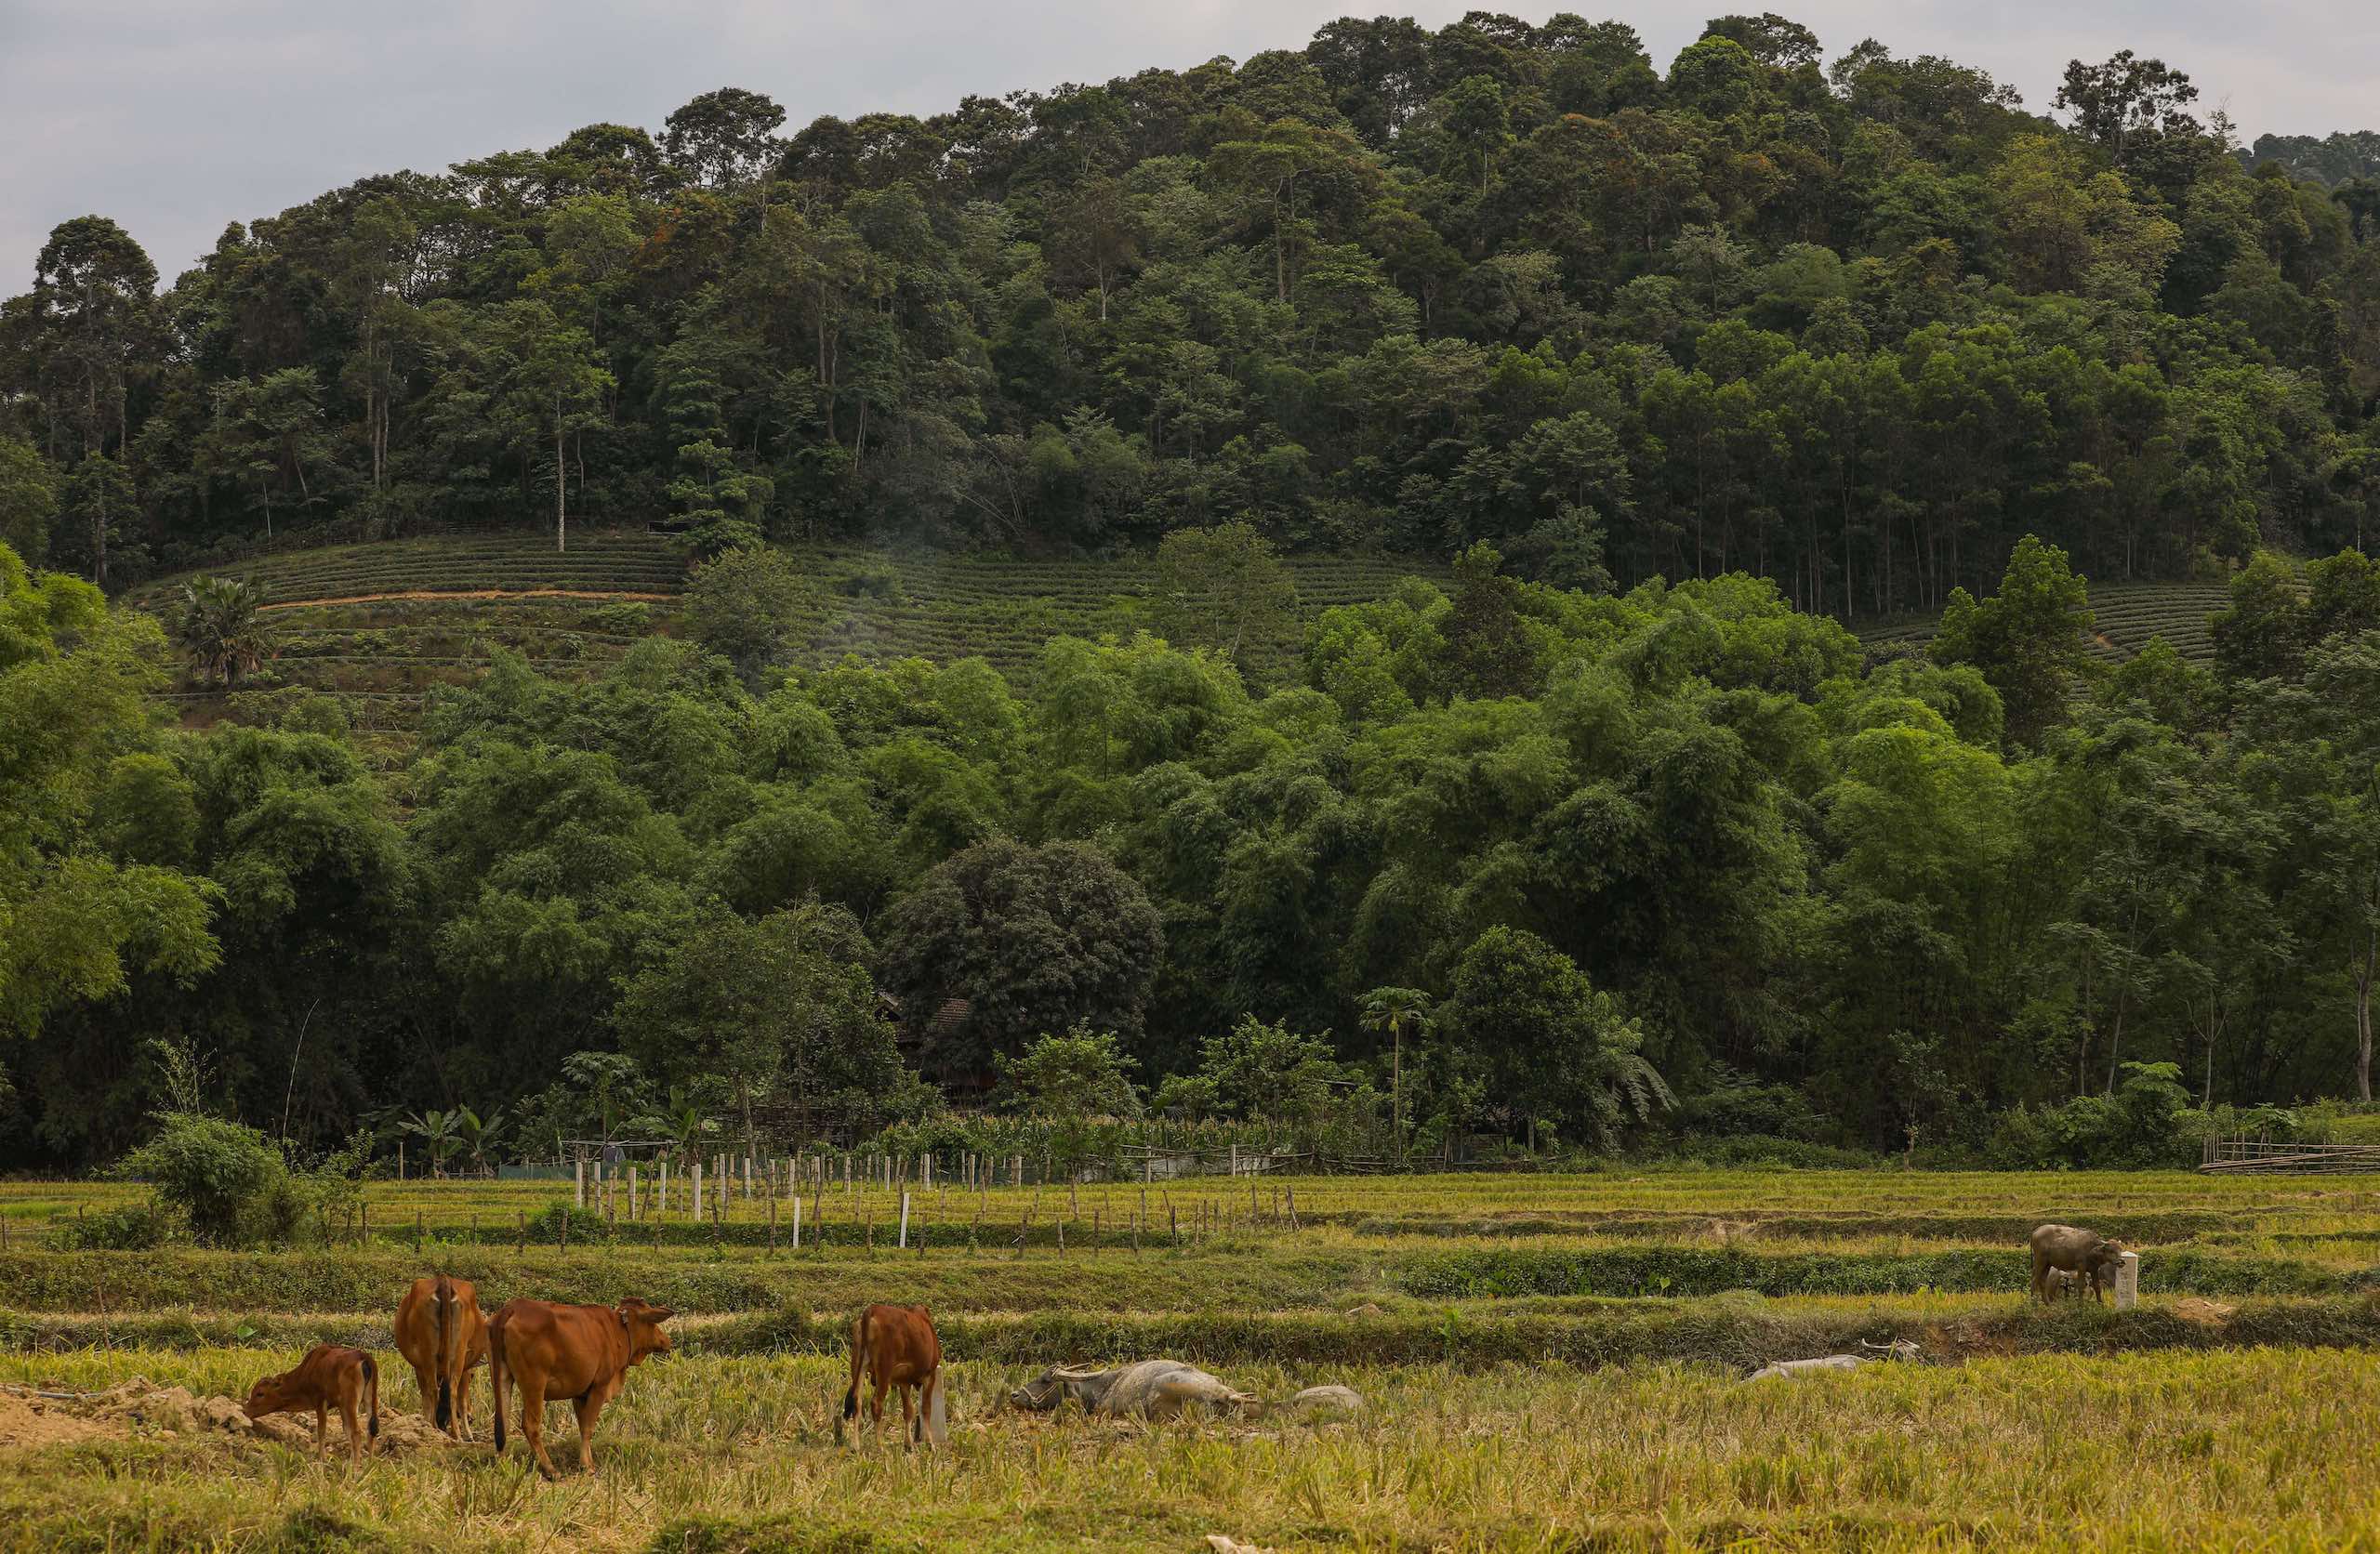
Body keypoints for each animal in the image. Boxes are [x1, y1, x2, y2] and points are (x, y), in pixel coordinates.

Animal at [244, 1342, 378, 1456]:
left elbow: (321, 1432)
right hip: (369, 1399)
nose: (245, 1411)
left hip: (351, 1401)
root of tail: (364, 1356)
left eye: (260, 1393)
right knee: (370, 1432)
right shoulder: (341, 1406)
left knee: (357, 1433)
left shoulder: (320, 1401)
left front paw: (322, 1460)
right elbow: (346, 1430)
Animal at [394, 1266, 487, 1437]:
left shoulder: (419, 1367)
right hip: (456, 1353)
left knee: (434, 1390)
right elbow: (461, 1401)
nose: (472, 1418)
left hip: (430, 1355)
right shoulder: (466, 1369)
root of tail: (443, 1280)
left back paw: (436, 1427)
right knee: (448, 1390)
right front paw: (468, 1433)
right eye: (473, 1376)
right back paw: (453, 1433)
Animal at [483, 1294, 670, 1475]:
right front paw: (587, 1466)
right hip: (534, 1384)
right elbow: (588, 1427)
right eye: (653, 1322)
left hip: (501, 1376)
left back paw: (503, 1466)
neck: (618, 1330)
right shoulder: (599, 1387)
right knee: (530, 1425)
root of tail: (512, 1307)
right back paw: (550, 1469)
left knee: (503, 1422)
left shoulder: (580, 1394)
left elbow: (582, 1426)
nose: (666, 1340)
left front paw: (587, 1460)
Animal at [842, 1294, 942, 1446]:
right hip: (884, 1370)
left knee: (856, 1401)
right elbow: (925, 1409)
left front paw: (908, 1444)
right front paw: (930, 1444)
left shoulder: (904, 1382)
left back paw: (856, 1446)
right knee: (876, 1403)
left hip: (858, 1365)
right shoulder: (930, 1375)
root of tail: (872, 1310)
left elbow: (909, 1411)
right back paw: (881, 1447)